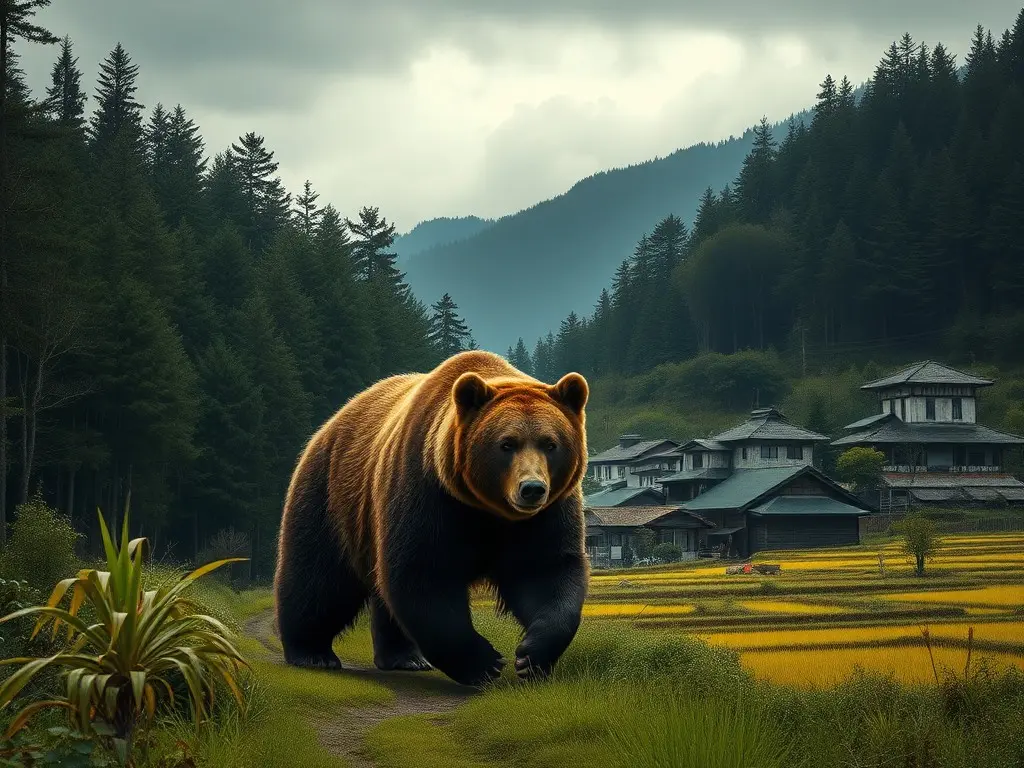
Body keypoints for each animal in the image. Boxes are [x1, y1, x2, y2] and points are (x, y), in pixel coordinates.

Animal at [272, 349, 590, 686]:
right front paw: (485, 662)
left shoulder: (545, 515)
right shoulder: (428, 491)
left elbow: (546, 571)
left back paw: (404, 657)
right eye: (507, 444)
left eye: (550, 443)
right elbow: (422, 574)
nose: (532, 488)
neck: (487, 509)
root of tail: (329, 424)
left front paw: (531, 656)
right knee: (317, 577)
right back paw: (312, 652)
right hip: (331, 498)